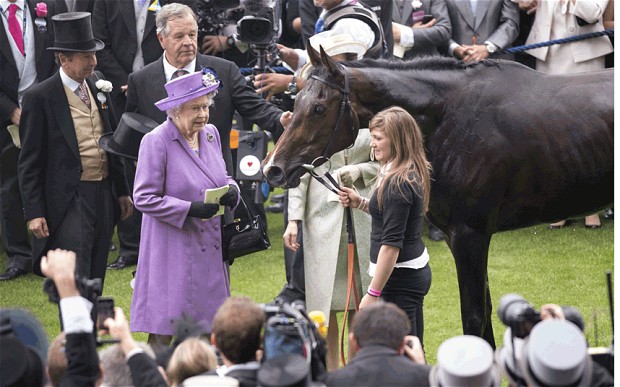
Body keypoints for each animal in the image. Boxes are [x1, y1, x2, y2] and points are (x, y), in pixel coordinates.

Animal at [260, 47, 612, 348]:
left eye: (318, 108)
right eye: (295, 104)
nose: (273, 169)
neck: (449, 116)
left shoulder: (470, 235)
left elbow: (474, 318)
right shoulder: (465, 238)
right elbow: (484, 314)